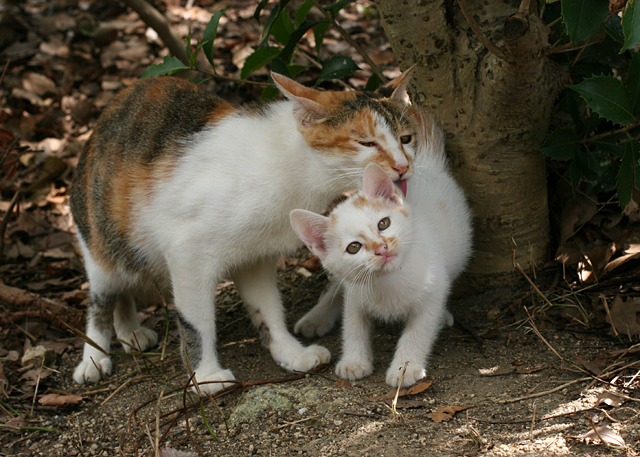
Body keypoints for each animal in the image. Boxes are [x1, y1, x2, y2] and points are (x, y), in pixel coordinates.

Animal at [70, 67, 420, 392]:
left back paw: (129, 330)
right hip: (100, 241)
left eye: (406, 138)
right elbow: (197, 321)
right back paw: (94, 357)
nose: (404, 166)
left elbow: (268, 307)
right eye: (366, 143)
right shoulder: (187, 252)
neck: (290, 169)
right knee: (102, 295)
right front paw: (206, 376)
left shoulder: (256, 256)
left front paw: (290, 353)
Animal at [290, 113, 470, 384]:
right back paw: (317, 317)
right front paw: (354, 361)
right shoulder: (355, 294)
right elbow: (353, 324)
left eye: (383, 223)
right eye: (354, 247)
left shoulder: (433, 289)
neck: (387, 280)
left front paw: (405, 368)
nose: (382, 248)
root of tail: (427, 165)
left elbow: (418, 331)